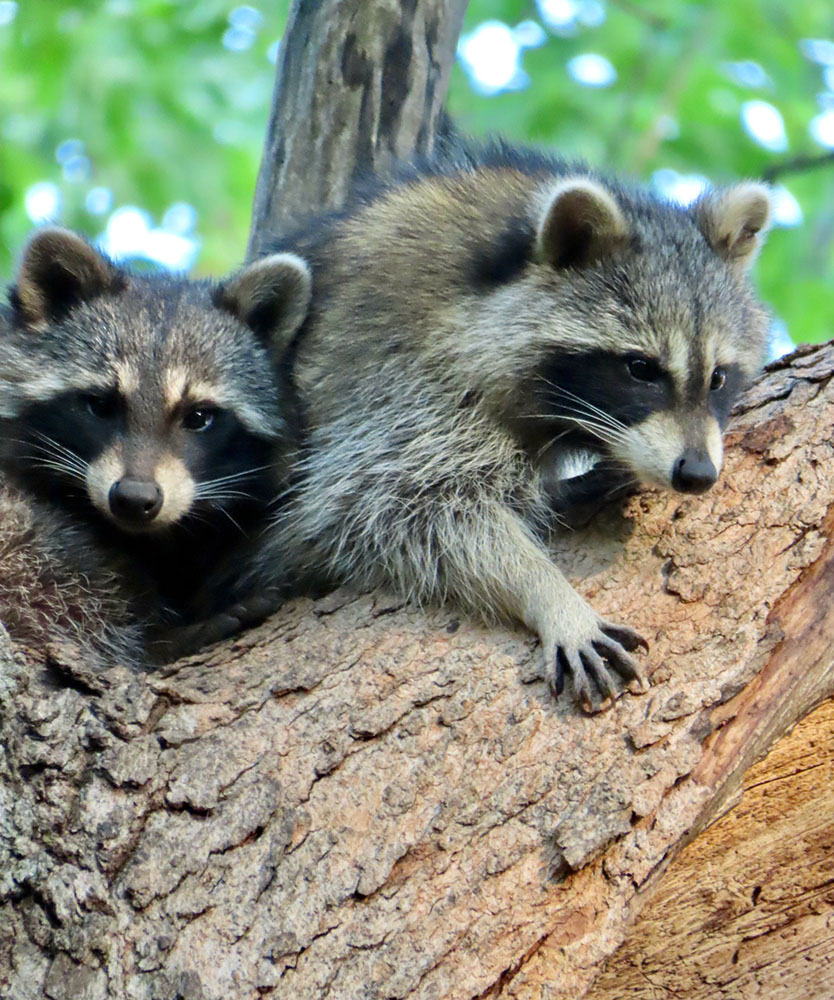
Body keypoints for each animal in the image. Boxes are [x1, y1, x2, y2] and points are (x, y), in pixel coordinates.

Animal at [261, 141, 771, 710]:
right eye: (641, 368)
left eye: (718, 378)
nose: (698, 474)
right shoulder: (393, 378)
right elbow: (404, 507)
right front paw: (548, 592)